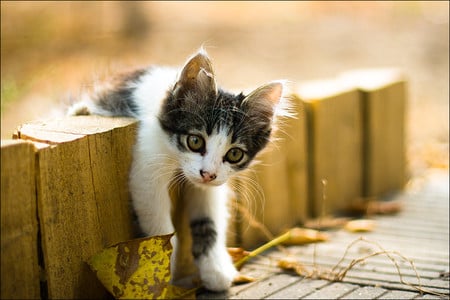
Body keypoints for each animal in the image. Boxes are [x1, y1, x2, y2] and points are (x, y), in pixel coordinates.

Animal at [68, 48, 290, 290]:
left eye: (234, 154)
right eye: (195, 141)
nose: (207, 174)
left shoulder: (212, 186)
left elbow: (210, 220)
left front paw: (216, 268)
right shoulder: (148, 169)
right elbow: (161, 226)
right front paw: (162, 270)